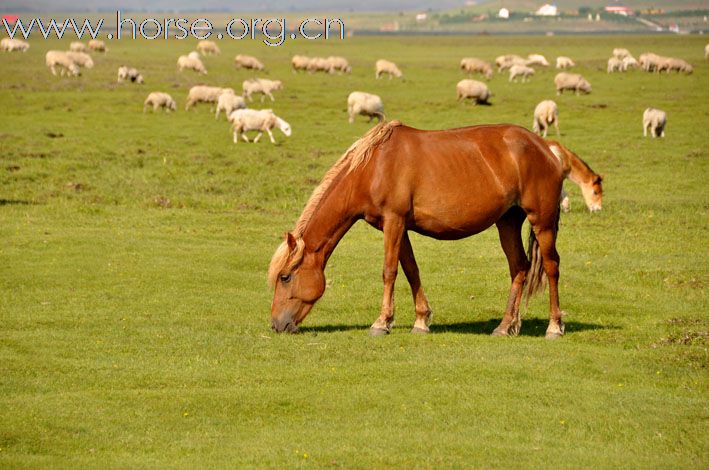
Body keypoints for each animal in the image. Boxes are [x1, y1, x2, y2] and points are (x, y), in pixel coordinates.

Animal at [268, 121, 568, 340]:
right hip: (507, 221)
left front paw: (381, 323)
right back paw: (506, 326)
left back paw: (554, 326)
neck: (373, 167)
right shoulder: (397, 228)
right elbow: (411, 270)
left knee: (551, 266)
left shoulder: (394, 221)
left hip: (541, 222)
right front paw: (421, 320)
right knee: (519, 267)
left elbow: (389, 271)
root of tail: (546, 147)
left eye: (285, 277)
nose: (276, 324)